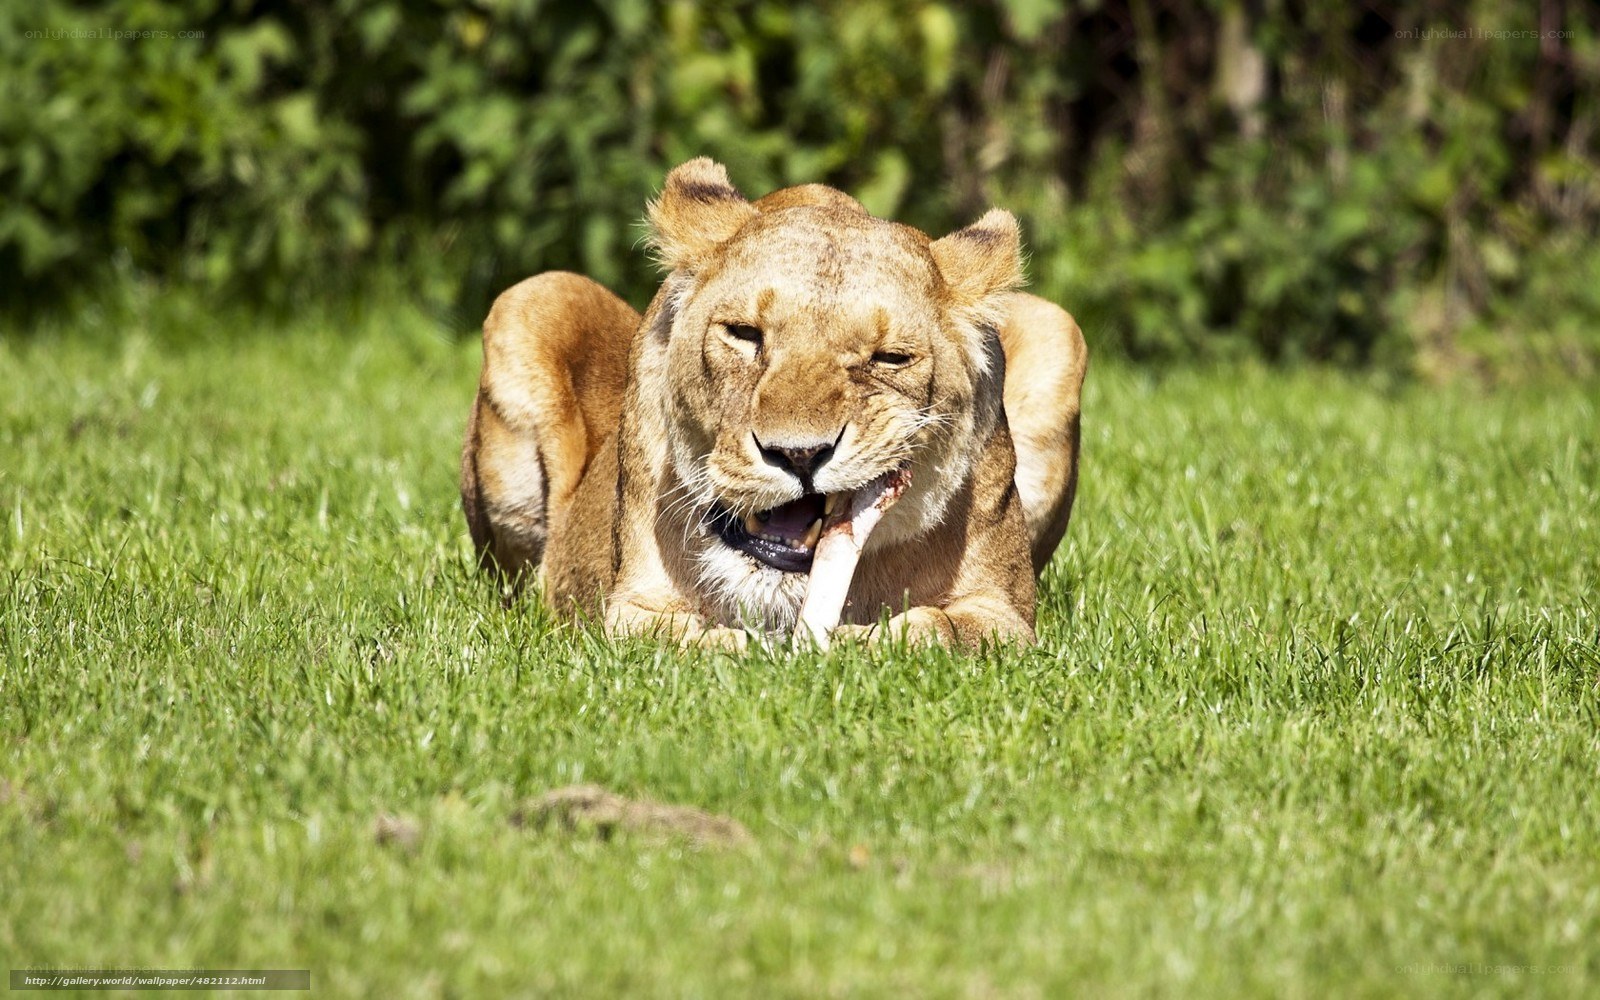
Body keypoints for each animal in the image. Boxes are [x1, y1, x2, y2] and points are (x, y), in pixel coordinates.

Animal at [460, 158, 1086, 649]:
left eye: (890, 358)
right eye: (744, 334)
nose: (800, 456)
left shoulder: (1005, 614)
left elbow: (939, 632)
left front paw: (864, 643)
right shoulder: (632, 609)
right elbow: (681, 641)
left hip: (1057, 326)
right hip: (529, 297)